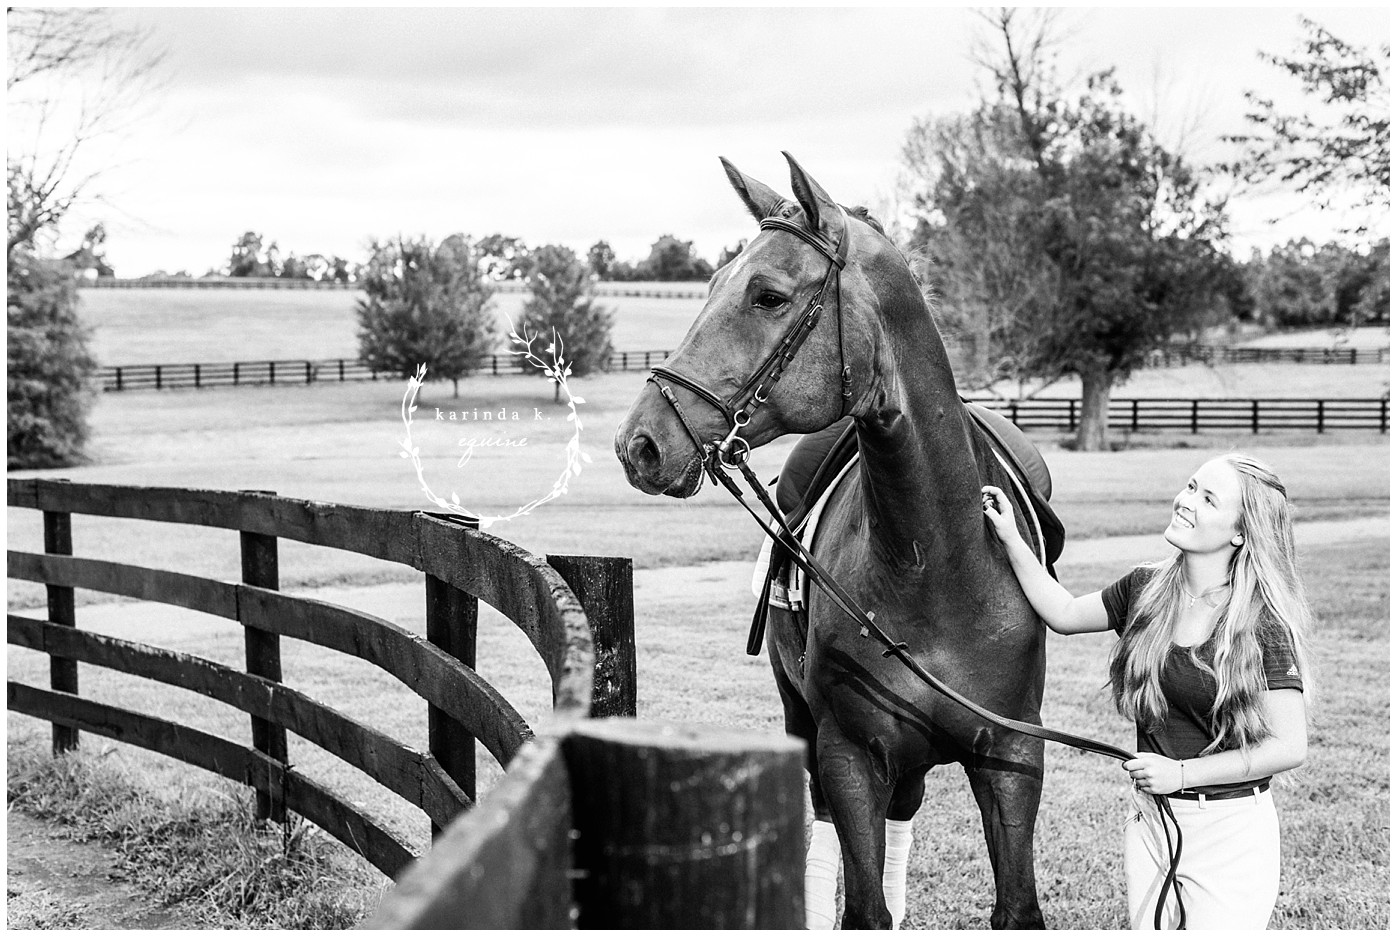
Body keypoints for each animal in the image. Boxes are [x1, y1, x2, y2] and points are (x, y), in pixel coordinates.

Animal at [614, 153, 1049, 929]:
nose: (641, 442)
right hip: (806, 725)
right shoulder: (849, 756)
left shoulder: (1012, 758)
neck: (937, 562)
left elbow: (1016, 906)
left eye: (767, 295)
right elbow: (863, 908)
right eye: (712, 284)